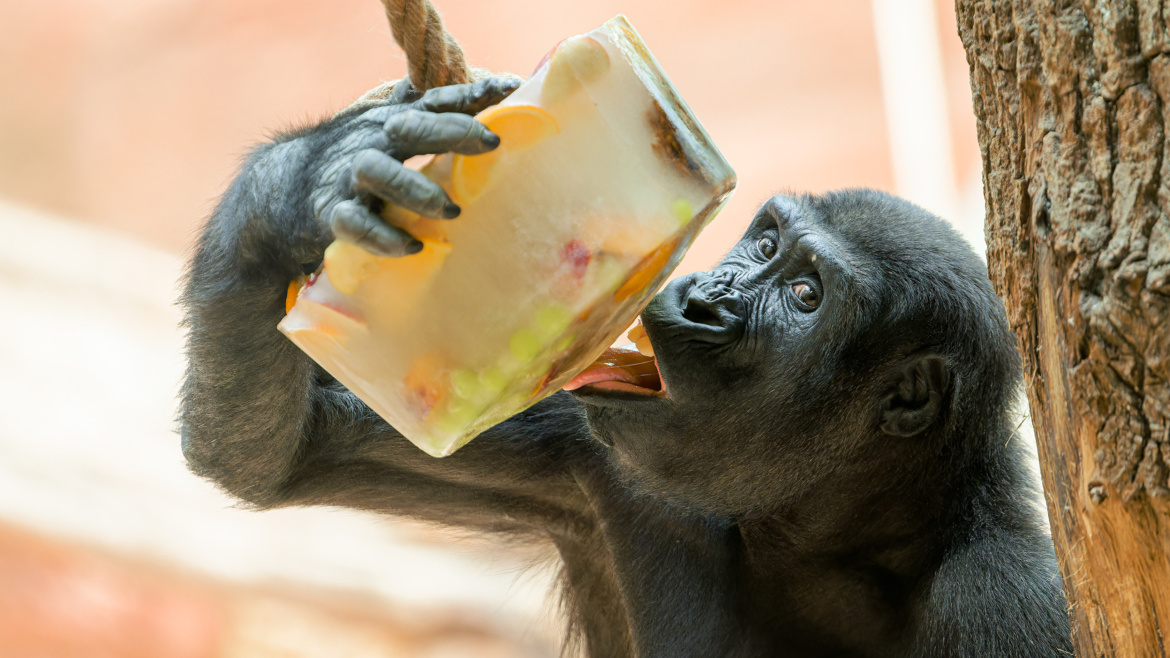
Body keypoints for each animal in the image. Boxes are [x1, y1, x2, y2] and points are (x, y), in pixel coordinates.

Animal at [180, 77, 1071, 655]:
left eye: (806, 294)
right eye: (765, 245)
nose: (704, 295)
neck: (827, 537)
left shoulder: (1011, 595)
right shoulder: (592, 458)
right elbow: (285, 455)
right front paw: (308, 182)